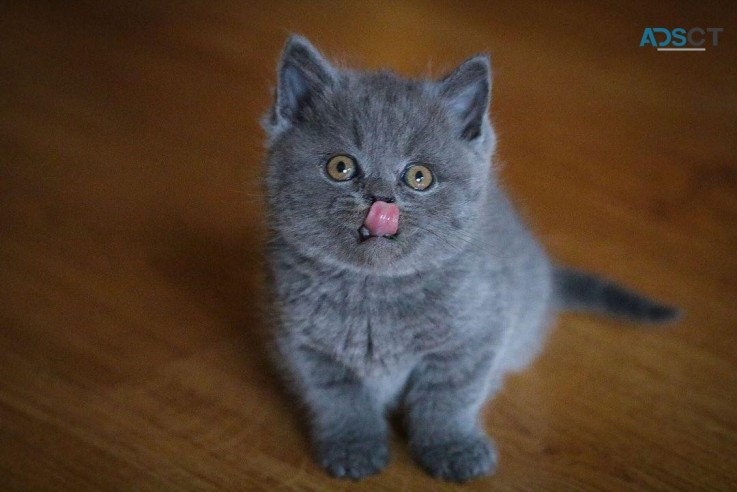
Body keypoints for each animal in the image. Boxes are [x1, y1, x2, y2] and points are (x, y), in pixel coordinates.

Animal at [264, 35, 680, 484]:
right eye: (340, 166)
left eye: (419, 177)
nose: (381, 199)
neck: (375, 291)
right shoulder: (303, 343)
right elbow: (338, 397)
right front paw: (353, 446)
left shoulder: (478, 335)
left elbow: (449, 397)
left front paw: (452, 447)